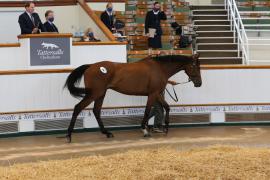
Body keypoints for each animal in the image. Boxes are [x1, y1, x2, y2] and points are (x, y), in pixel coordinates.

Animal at [64, 54, 201, 143]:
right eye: (195, 67)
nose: (199, 83)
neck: (159, 68)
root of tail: (91, 66)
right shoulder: (153, 94)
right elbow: (147, 111)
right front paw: (145, 130)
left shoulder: (157, 93)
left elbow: (166, 107)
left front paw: (166, 128)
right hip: (94, 93)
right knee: (78, 108)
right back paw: (69, 135)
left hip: (101, 94)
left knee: (96, 111)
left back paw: (107, 133)